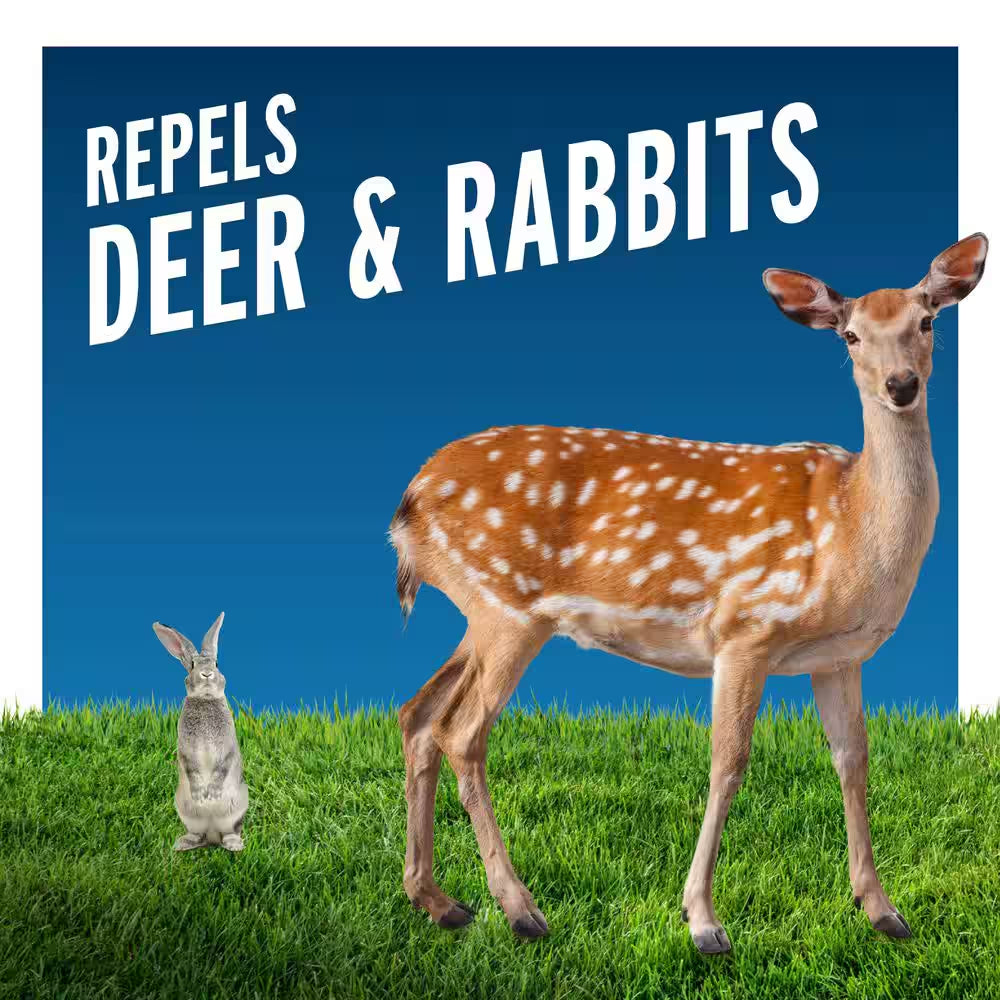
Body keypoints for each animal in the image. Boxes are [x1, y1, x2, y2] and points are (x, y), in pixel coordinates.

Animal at [152, 612, 248, 852]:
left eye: (217, 663)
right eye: (193, 665)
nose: (206, 674)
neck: (205, 699)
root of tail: (212, 835)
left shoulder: (227, 746)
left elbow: (223, 765)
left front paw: (211, 793)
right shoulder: (186, 749)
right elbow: (191, 766)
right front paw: (200, 794)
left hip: (236, 808)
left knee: (230, 831)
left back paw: (234, 845)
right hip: (186, 811)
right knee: (198, 834)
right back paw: (183, 844)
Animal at [389, 234, 987, 953]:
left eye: (927, 322)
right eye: (850, 336)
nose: (901, 385)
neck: (850, 528)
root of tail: (407, 503)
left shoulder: (838, 656)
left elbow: (854, 760)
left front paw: (881, 909)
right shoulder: (746, 626)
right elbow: (728, 762)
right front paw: (703, 920)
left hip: (481, 613)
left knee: (417, 714)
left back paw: (438, 901)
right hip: (509, 607)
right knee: (461, 733)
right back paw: (519, 909)